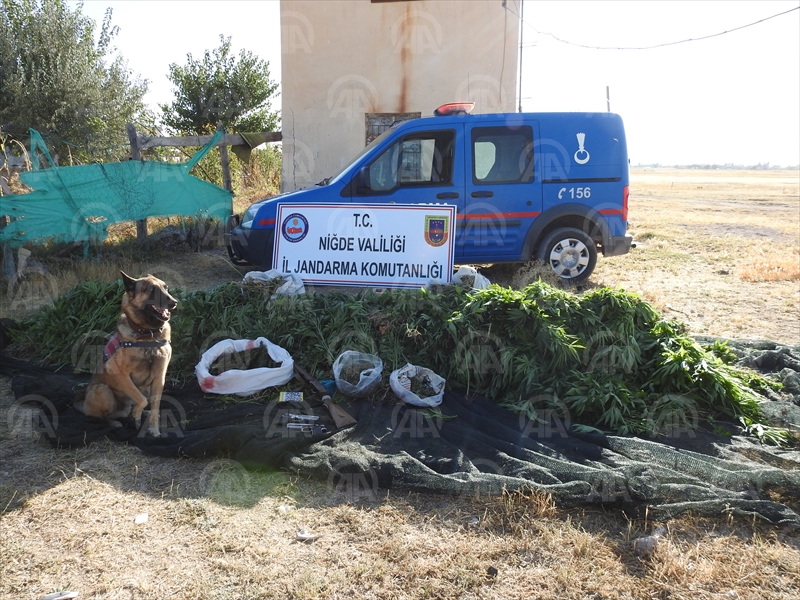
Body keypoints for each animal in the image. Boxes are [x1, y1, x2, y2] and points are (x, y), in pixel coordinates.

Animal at [74, 272, 178, 436]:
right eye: (152, 290)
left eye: (166, 288)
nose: (174, 302)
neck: (148, 334)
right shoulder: (118, 372)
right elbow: (140, 399)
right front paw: (137, 414)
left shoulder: (159, 378)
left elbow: (153, 405)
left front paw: (154, 430)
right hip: (103, 390)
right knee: (102, 417)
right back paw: (116, 423)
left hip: (146, 387)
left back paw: (142, 414)